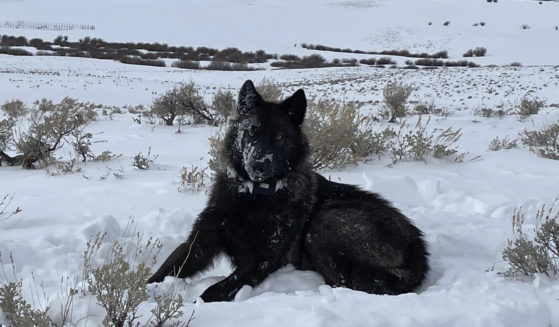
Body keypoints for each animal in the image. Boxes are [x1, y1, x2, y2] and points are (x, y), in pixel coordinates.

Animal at [148, 79, 428, 302]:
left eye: (279, 137)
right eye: (251, 132)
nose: (259, 164)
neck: (255, 197)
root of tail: (418, 248)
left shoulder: (260, 261)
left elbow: (213, 291)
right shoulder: (200, 242)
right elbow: (166, 269)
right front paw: (144, 293)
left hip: (325, 223)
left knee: (347, 282)